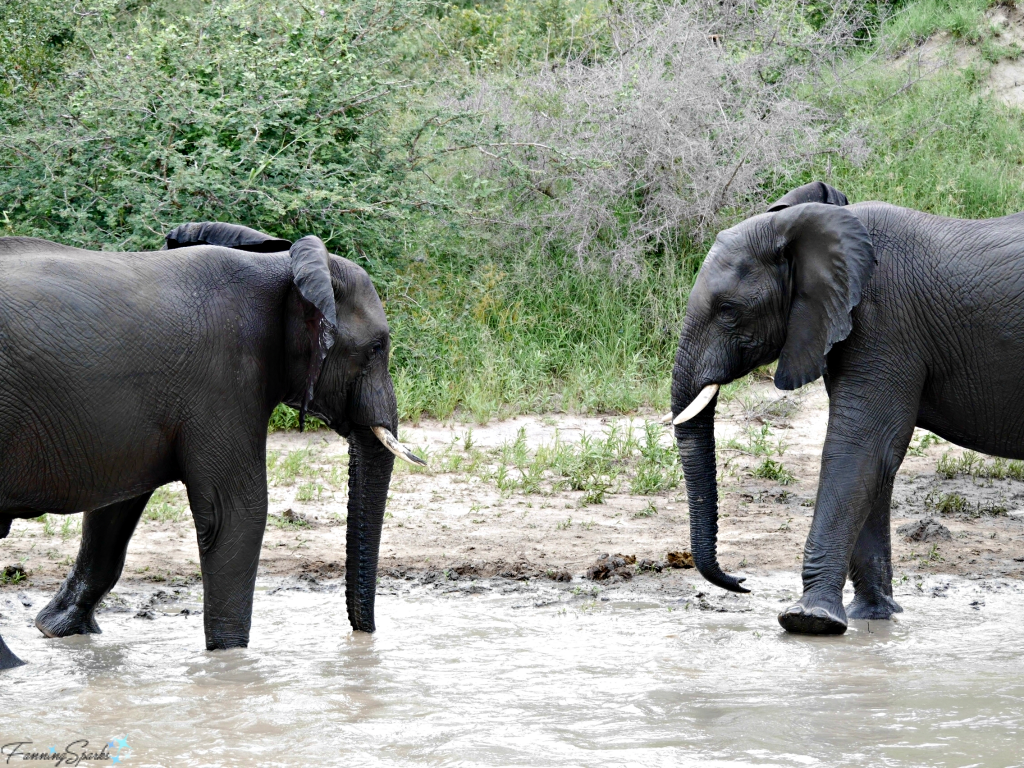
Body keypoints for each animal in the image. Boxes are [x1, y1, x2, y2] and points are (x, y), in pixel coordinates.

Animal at [0, 219, 421, 671]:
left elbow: (115, 510)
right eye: (375, 348)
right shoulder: (225, 378)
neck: (283, 267)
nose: (364, 637)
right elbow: (238, 511)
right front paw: (230, 660)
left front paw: (57, 631)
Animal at [667, 182, 1024, 638]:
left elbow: (859, 450)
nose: (742, 582)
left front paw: (809, 620)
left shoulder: (885, 319)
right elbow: (878, 461)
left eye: (728, 311)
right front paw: (871, 617)